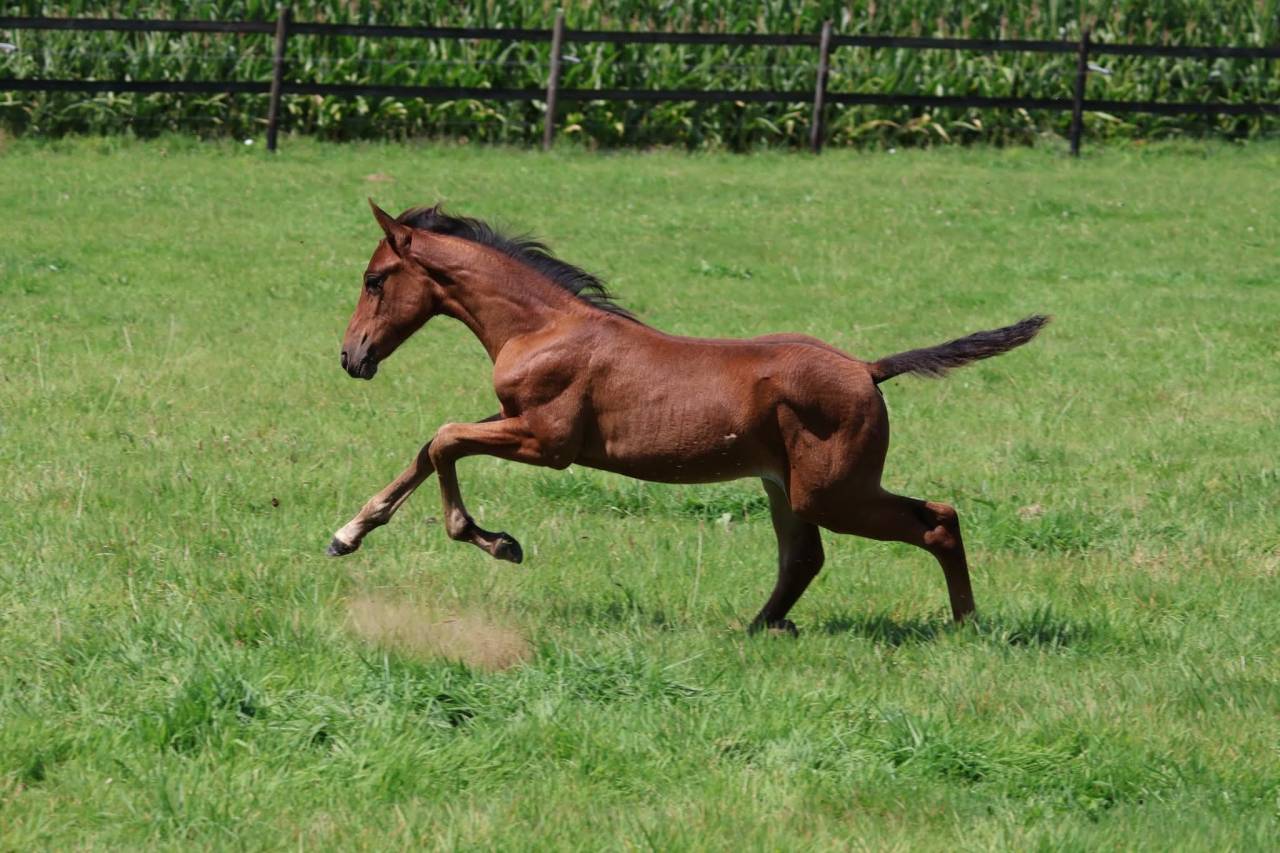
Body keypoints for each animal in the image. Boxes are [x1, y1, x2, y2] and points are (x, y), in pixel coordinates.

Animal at [328, 200, 1049, 634]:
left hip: (833, 491)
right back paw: (759, 627)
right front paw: (347, 533)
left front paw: (496, 541)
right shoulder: (514, 419)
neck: (542, 326)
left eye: (374, 280)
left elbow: (446, 439)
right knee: (804, 557)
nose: (351, 357)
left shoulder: (546, 441)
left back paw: (967, 625)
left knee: (938, 520)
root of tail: (868, 368)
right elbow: (429, 445)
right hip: (788, 486)